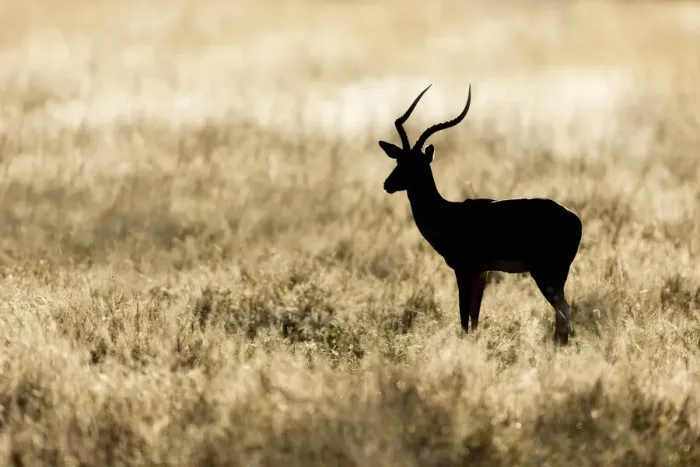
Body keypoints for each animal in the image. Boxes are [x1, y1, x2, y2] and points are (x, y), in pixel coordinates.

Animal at [379, 84, 582, 345]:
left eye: (415, 164)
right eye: (398, 160)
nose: (388, 184)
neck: (447, 213)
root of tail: (574, 218)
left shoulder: (464, 269)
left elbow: (464, 316)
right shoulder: (482, 272)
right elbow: (474, 316)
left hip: (546, 273)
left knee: (563, 309)